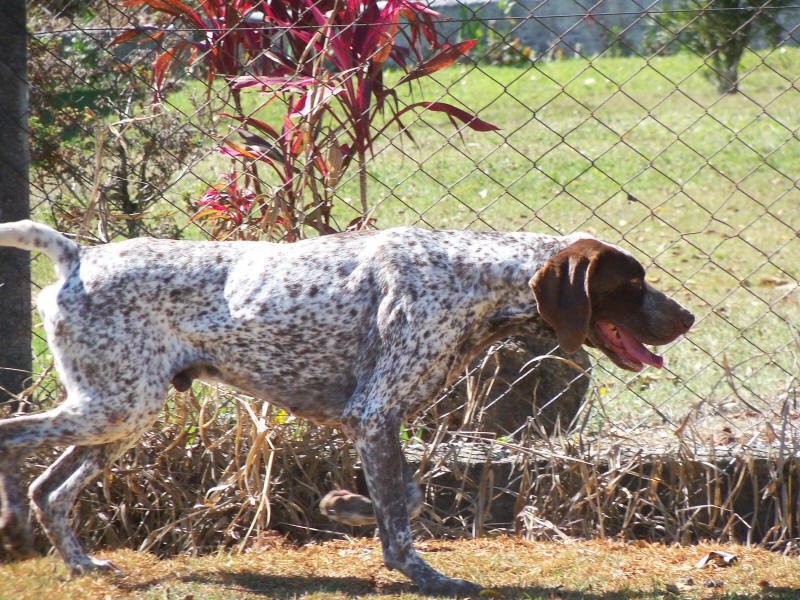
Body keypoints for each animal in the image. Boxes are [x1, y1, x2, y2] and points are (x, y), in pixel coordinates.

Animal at [0, 220, 693, 593]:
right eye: (631, 284)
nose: (686, 318)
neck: (477, 280)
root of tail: (77, 257)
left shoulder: (379, 419)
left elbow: (405, 497)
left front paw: (344, 507)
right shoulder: (374, 414)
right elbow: (402, 525)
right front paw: (426, 578)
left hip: (123, 414)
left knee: (50, 489)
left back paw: (80, 562)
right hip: (116, 406)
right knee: (13, 436)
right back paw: (13, 526)